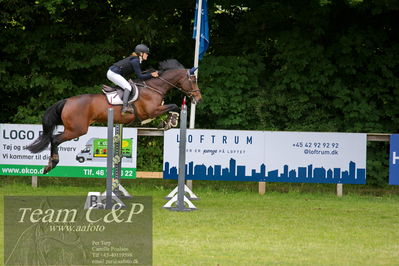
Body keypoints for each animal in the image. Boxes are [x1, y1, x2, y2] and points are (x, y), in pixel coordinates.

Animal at [27, 59, 203, 174]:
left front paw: (168, 121)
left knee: (53, 138)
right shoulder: (151, 111)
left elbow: (173, 106)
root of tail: (67, 101)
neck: (154, 87)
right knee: (55, 139)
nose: (198, 98)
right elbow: (174, 106)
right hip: (77, 130)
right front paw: (169, 122)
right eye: (193, 81)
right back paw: (51, 164)